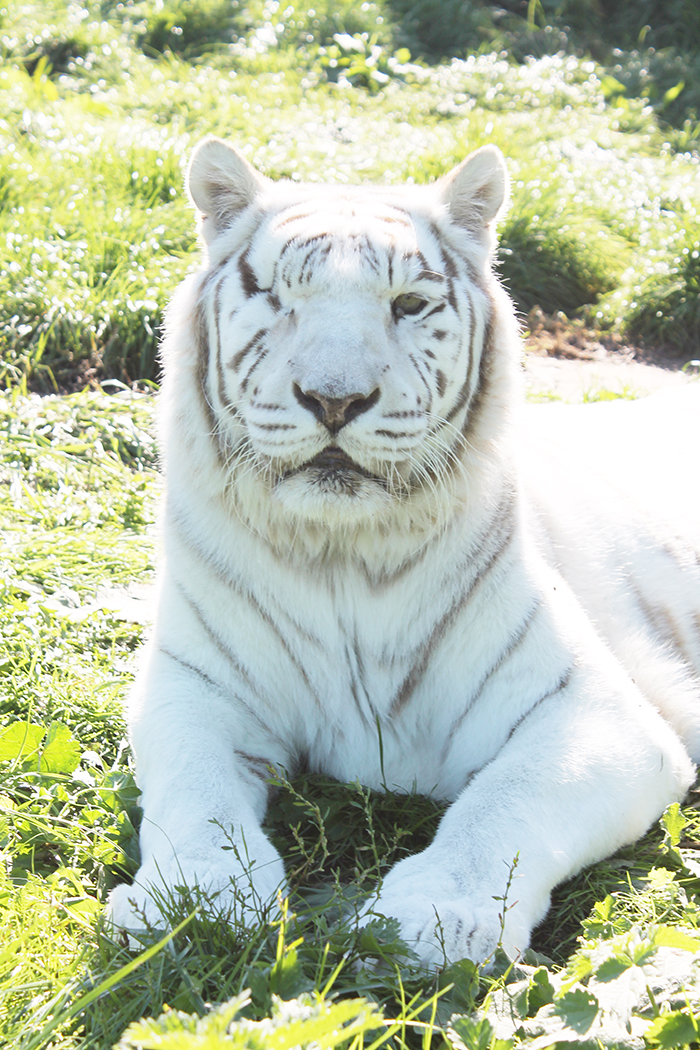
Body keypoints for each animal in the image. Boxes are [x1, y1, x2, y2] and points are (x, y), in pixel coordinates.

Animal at [108, 139, 700, 965]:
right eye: (276, 297)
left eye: (408, 305)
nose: (334, 399)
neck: (342, 555)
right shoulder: (194, 686)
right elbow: (198, 792)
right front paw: (194, 898)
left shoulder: (593, 709)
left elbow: (501, 803)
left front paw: (431, 917)